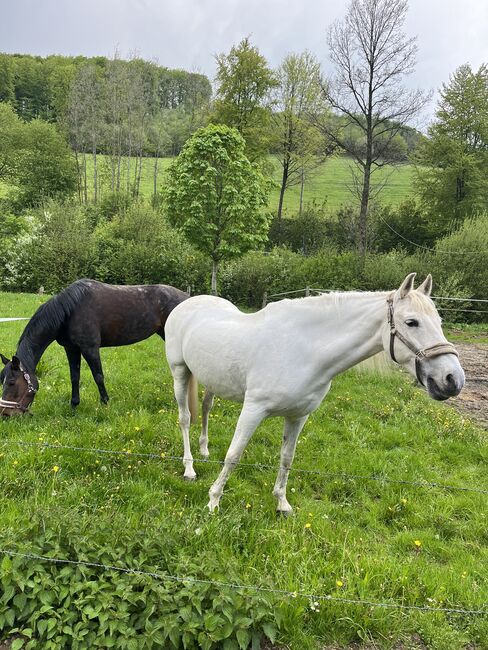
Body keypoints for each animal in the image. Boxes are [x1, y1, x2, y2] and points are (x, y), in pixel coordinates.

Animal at [0, 278, 189, 416]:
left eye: (11, 382)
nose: (6, 414)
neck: (70, 310)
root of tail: (187, 297)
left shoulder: (90, 348)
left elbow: (98, 376)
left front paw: (105, 404)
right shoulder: (71, 349)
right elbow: (74, 377)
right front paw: (74, 405)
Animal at [165, 270, 466, 512]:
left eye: (439, 321)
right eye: (411, 322)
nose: (453, 379)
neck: (304, 349)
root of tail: (187, 303)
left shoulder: (298, 416)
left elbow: (287, 457)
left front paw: (282, 503)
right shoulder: (254, 409)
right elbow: (233, 455)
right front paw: (213, 500)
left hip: (210, 379)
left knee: (205, 408)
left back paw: (204, 450)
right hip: (180, 371)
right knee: (184, 418)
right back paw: (189, 467)